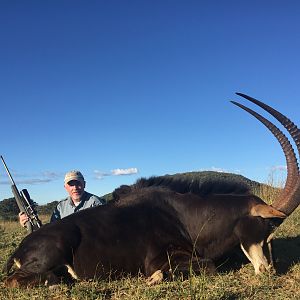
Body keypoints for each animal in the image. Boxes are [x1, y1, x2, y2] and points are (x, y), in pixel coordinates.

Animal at [2, 92, 300, 288]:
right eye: (266, 229)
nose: (268, 271)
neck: (186, 217)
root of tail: (19, 250)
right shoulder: (160, 258)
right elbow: (208, 266)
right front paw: (156, 278)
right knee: (15, 281)